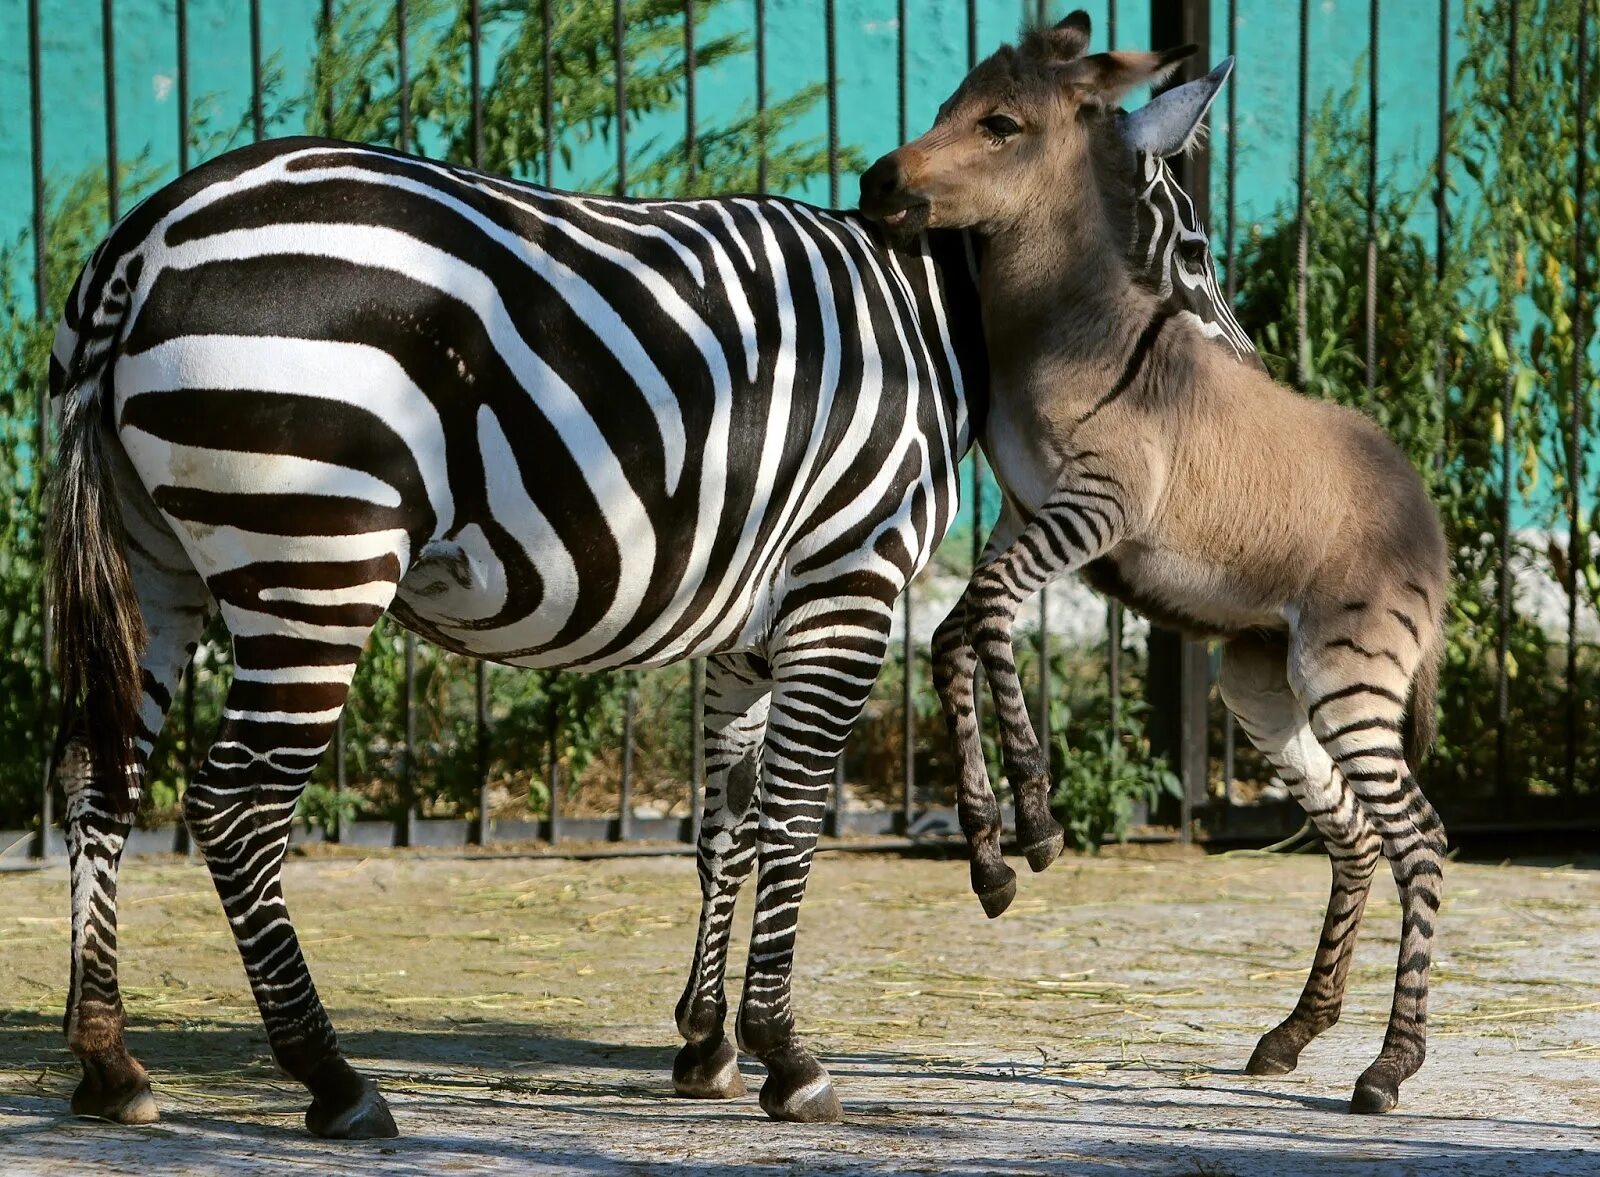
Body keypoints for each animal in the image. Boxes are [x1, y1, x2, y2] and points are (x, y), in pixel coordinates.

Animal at [50, 57, 1241, 1151]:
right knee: (235, 806)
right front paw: (786, 1053)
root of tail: (146, 239)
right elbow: (795, 818)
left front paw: (706, 1044)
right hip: (315, 559)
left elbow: (729, 826)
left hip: (155, 567)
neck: (936, 320)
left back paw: (109, 1061)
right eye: (1195, 255)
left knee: (98, 781)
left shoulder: (748, 631)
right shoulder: (846, 585)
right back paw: (332, 1078)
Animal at [864, 20, 1452, 1119]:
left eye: (999, 125)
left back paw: (1390, 1065)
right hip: (1263, 683)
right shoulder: (1025, 511)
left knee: (1421, 839)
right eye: (949, 105)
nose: (879, 178)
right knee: (1356, 833)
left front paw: (1031, 821)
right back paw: (1295, 1031)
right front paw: (998, 846)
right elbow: (958, 633)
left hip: (1350, 675)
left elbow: (981, 618)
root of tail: (1427, 518)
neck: (1062, 320)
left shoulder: (1095, 509)